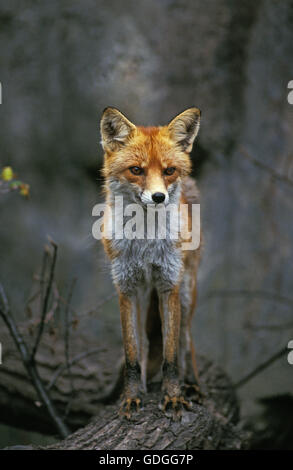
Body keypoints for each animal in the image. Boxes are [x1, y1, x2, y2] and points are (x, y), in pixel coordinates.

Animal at [99, 106, 202, 418]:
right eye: (136, 170)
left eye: (169, 170)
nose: (159, 197)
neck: (144, 240)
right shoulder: (126, 286)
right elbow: (132, 354)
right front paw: (131, 397)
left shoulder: (169, 284)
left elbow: (170, 354)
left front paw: (173, 397)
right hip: (146, 294)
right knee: (145, 343)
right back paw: (145, 385)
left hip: (185, 291)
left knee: (185, 340)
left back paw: (192, 385)